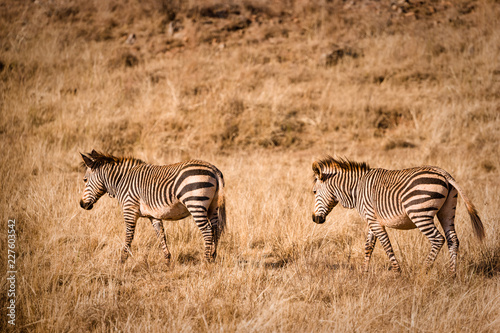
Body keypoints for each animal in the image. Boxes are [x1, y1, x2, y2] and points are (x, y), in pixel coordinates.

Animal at [79, 149, 227, 264]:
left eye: (85, 180)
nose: (81, 204)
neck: (122, 181)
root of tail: (213, 169)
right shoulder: (153, 215)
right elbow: (161, 235)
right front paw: (167, 260)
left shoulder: (129, 209)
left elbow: (129, 235)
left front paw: (122, 260)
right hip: (213, 206)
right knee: (216, 228)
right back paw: (213, 257)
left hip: (195, 203)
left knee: (207, 230)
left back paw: (206, 260)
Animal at [312, 156, 484, 272]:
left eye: (313, 192)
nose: (314, 219)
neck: (356, 189)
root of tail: (444, 174)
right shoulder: (372, 219)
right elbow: (369, 245)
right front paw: (364, 272)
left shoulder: (373, 220)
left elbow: (386, 245)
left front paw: (397, 272)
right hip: (447, 211)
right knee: (452, 239)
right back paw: (452, 274)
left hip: (419, 213)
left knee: (437, 239)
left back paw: (423, 272)